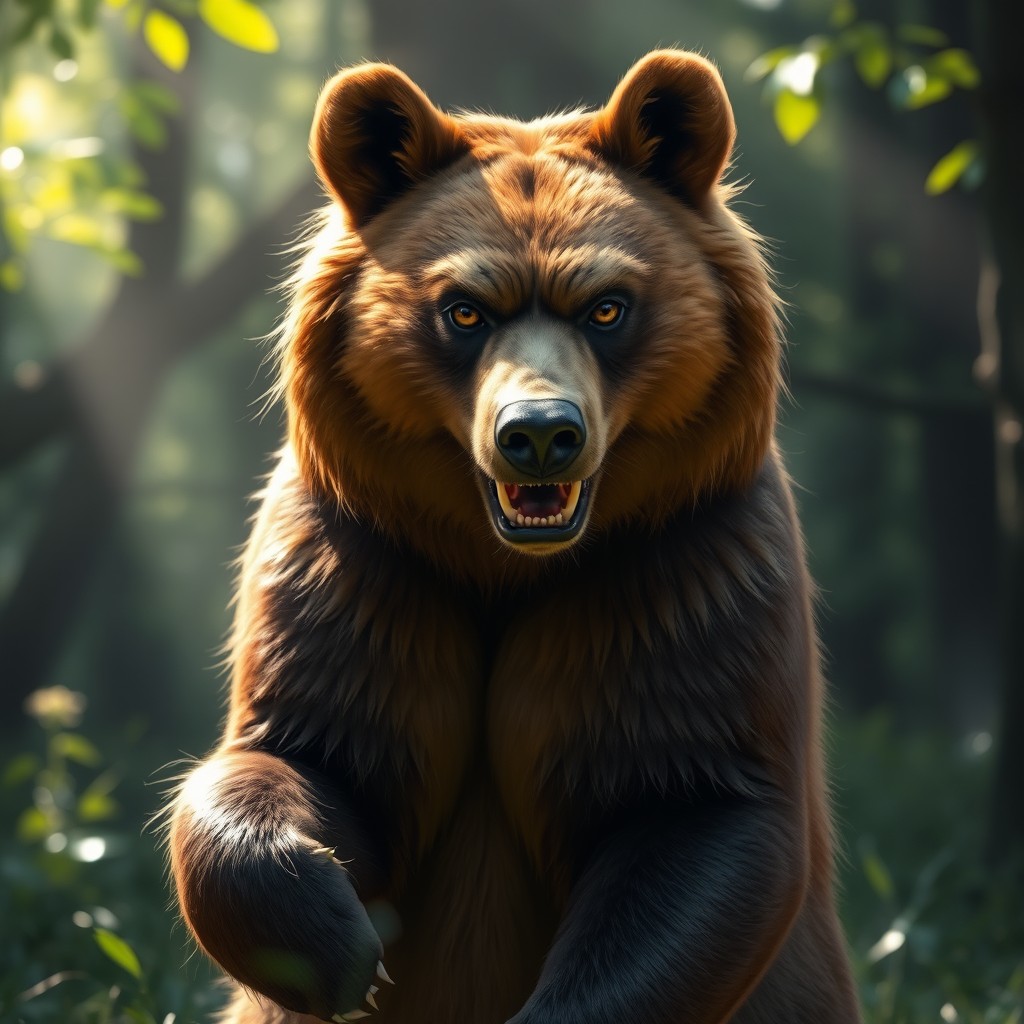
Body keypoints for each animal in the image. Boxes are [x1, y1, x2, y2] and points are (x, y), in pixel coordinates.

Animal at [168, 50, 861, 1024]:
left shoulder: (681, 577)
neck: (504, 566)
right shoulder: (363, 568)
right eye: (465, 309)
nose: (539, 433)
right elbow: (302, 754)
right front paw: (337, 943)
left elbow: (696, 811)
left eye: (607, 306)